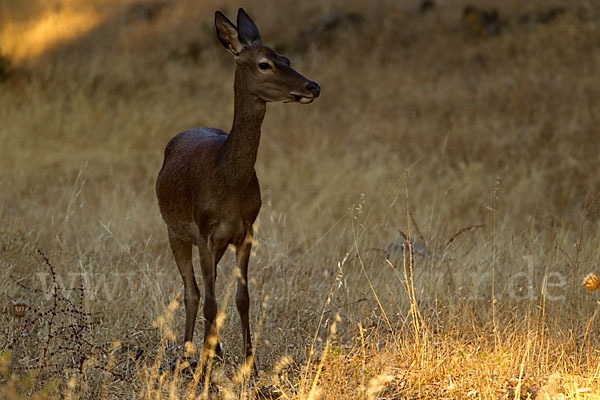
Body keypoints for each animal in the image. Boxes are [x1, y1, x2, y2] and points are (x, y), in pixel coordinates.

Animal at [157, 7, 322, 372]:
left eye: (287, 57)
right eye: (265, 63)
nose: (313, 86)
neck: (226, 182)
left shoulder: (246, 229)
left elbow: (242, 297)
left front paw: (250, 363)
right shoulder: (204, 229)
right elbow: (207, 299)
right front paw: (204, 367)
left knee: (210, 285)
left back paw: (213, 349)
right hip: (175, 231)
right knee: (192, 291)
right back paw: (188, 353)